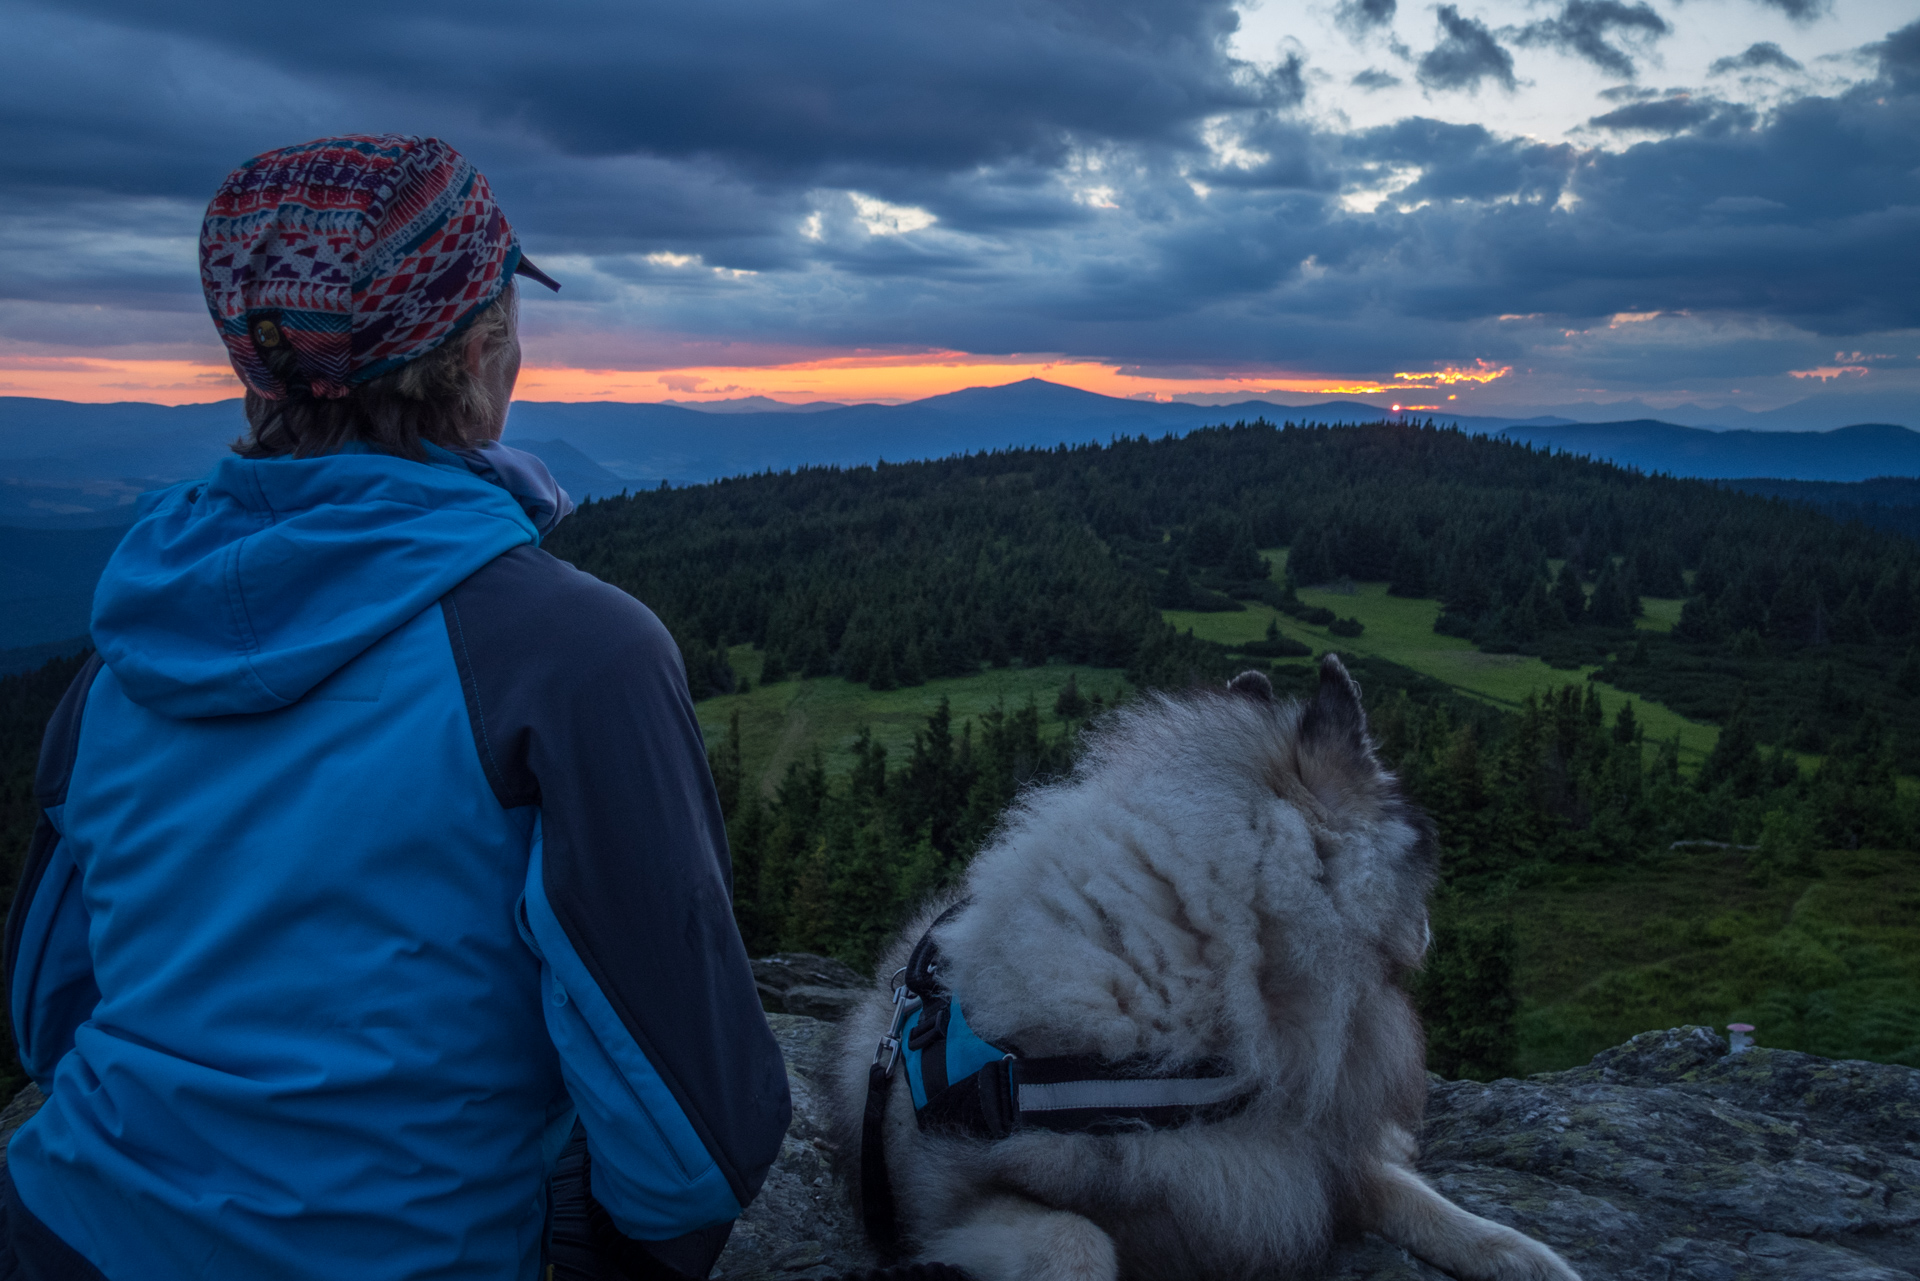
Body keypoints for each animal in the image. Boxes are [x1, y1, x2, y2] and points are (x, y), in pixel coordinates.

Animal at [833, 660, 1582, 1281]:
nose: (1429, 932)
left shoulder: (1297, 1163)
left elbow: (1416, 1198)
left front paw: (1519, 1253)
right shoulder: (951, 1204)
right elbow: (1077, 1240)